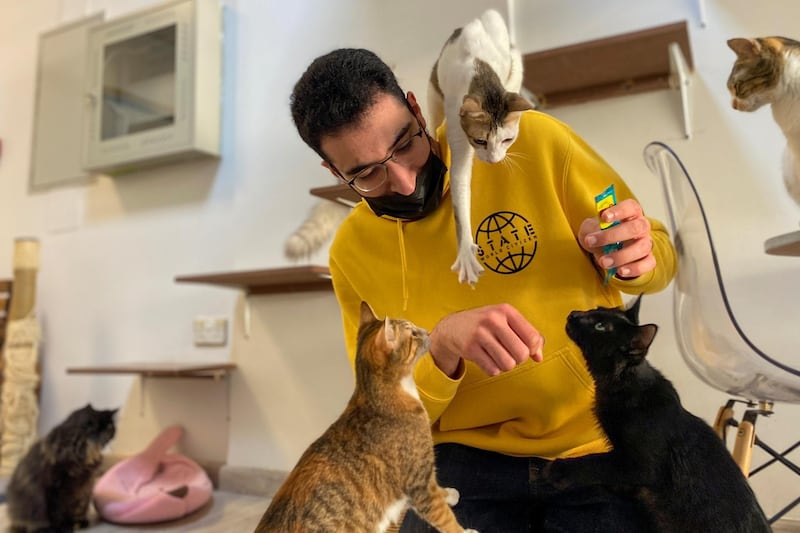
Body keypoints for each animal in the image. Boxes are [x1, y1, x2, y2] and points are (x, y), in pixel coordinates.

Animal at [5, 404, 117, 532]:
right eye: (109, 427)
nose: (114, 432)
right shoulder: (55, 487)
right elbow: (56, 512)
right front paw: (62, 527)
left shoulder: (84, 487)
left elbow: (78, 507)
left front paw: (77, 523)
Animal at [253, 304, 476, 532]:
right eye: (412, 333)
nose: (426, 331)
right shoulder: (418, 482)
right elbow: (443, 515)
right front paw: (464, 530)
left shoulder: (424, 478)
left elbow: (438, 491)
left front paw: (448, 494)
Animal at [428, 8, 536, 284]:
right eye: (479, 141)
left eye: (507, 140)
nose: (495, 160)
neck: (482, 75)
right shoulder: (456, 122)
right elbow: (460, 184)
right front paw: (466, 251)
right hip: (434, 94)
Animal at [544, 298, 768, 528]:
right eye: (596, 309)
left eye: (600, 327)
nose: (573, 314)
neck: (622, 384)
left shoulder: (640, 464)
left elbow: (599, 461)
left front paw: (561, 469)